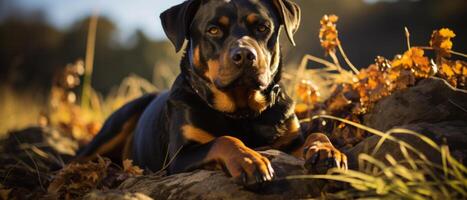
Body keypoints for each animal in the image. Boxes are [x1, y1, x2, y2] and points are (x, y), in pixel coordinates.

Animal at [77, 0, 348, 185]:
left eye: (262, 27)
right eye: (214, 30)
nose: (245, 55)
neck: (242, 112)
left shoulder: (290, 140)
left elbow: (316, 134)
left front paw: (327, 151)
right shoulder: (180, 156)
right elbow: (223, 139)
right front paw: (249, 160)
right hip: (116, 124)